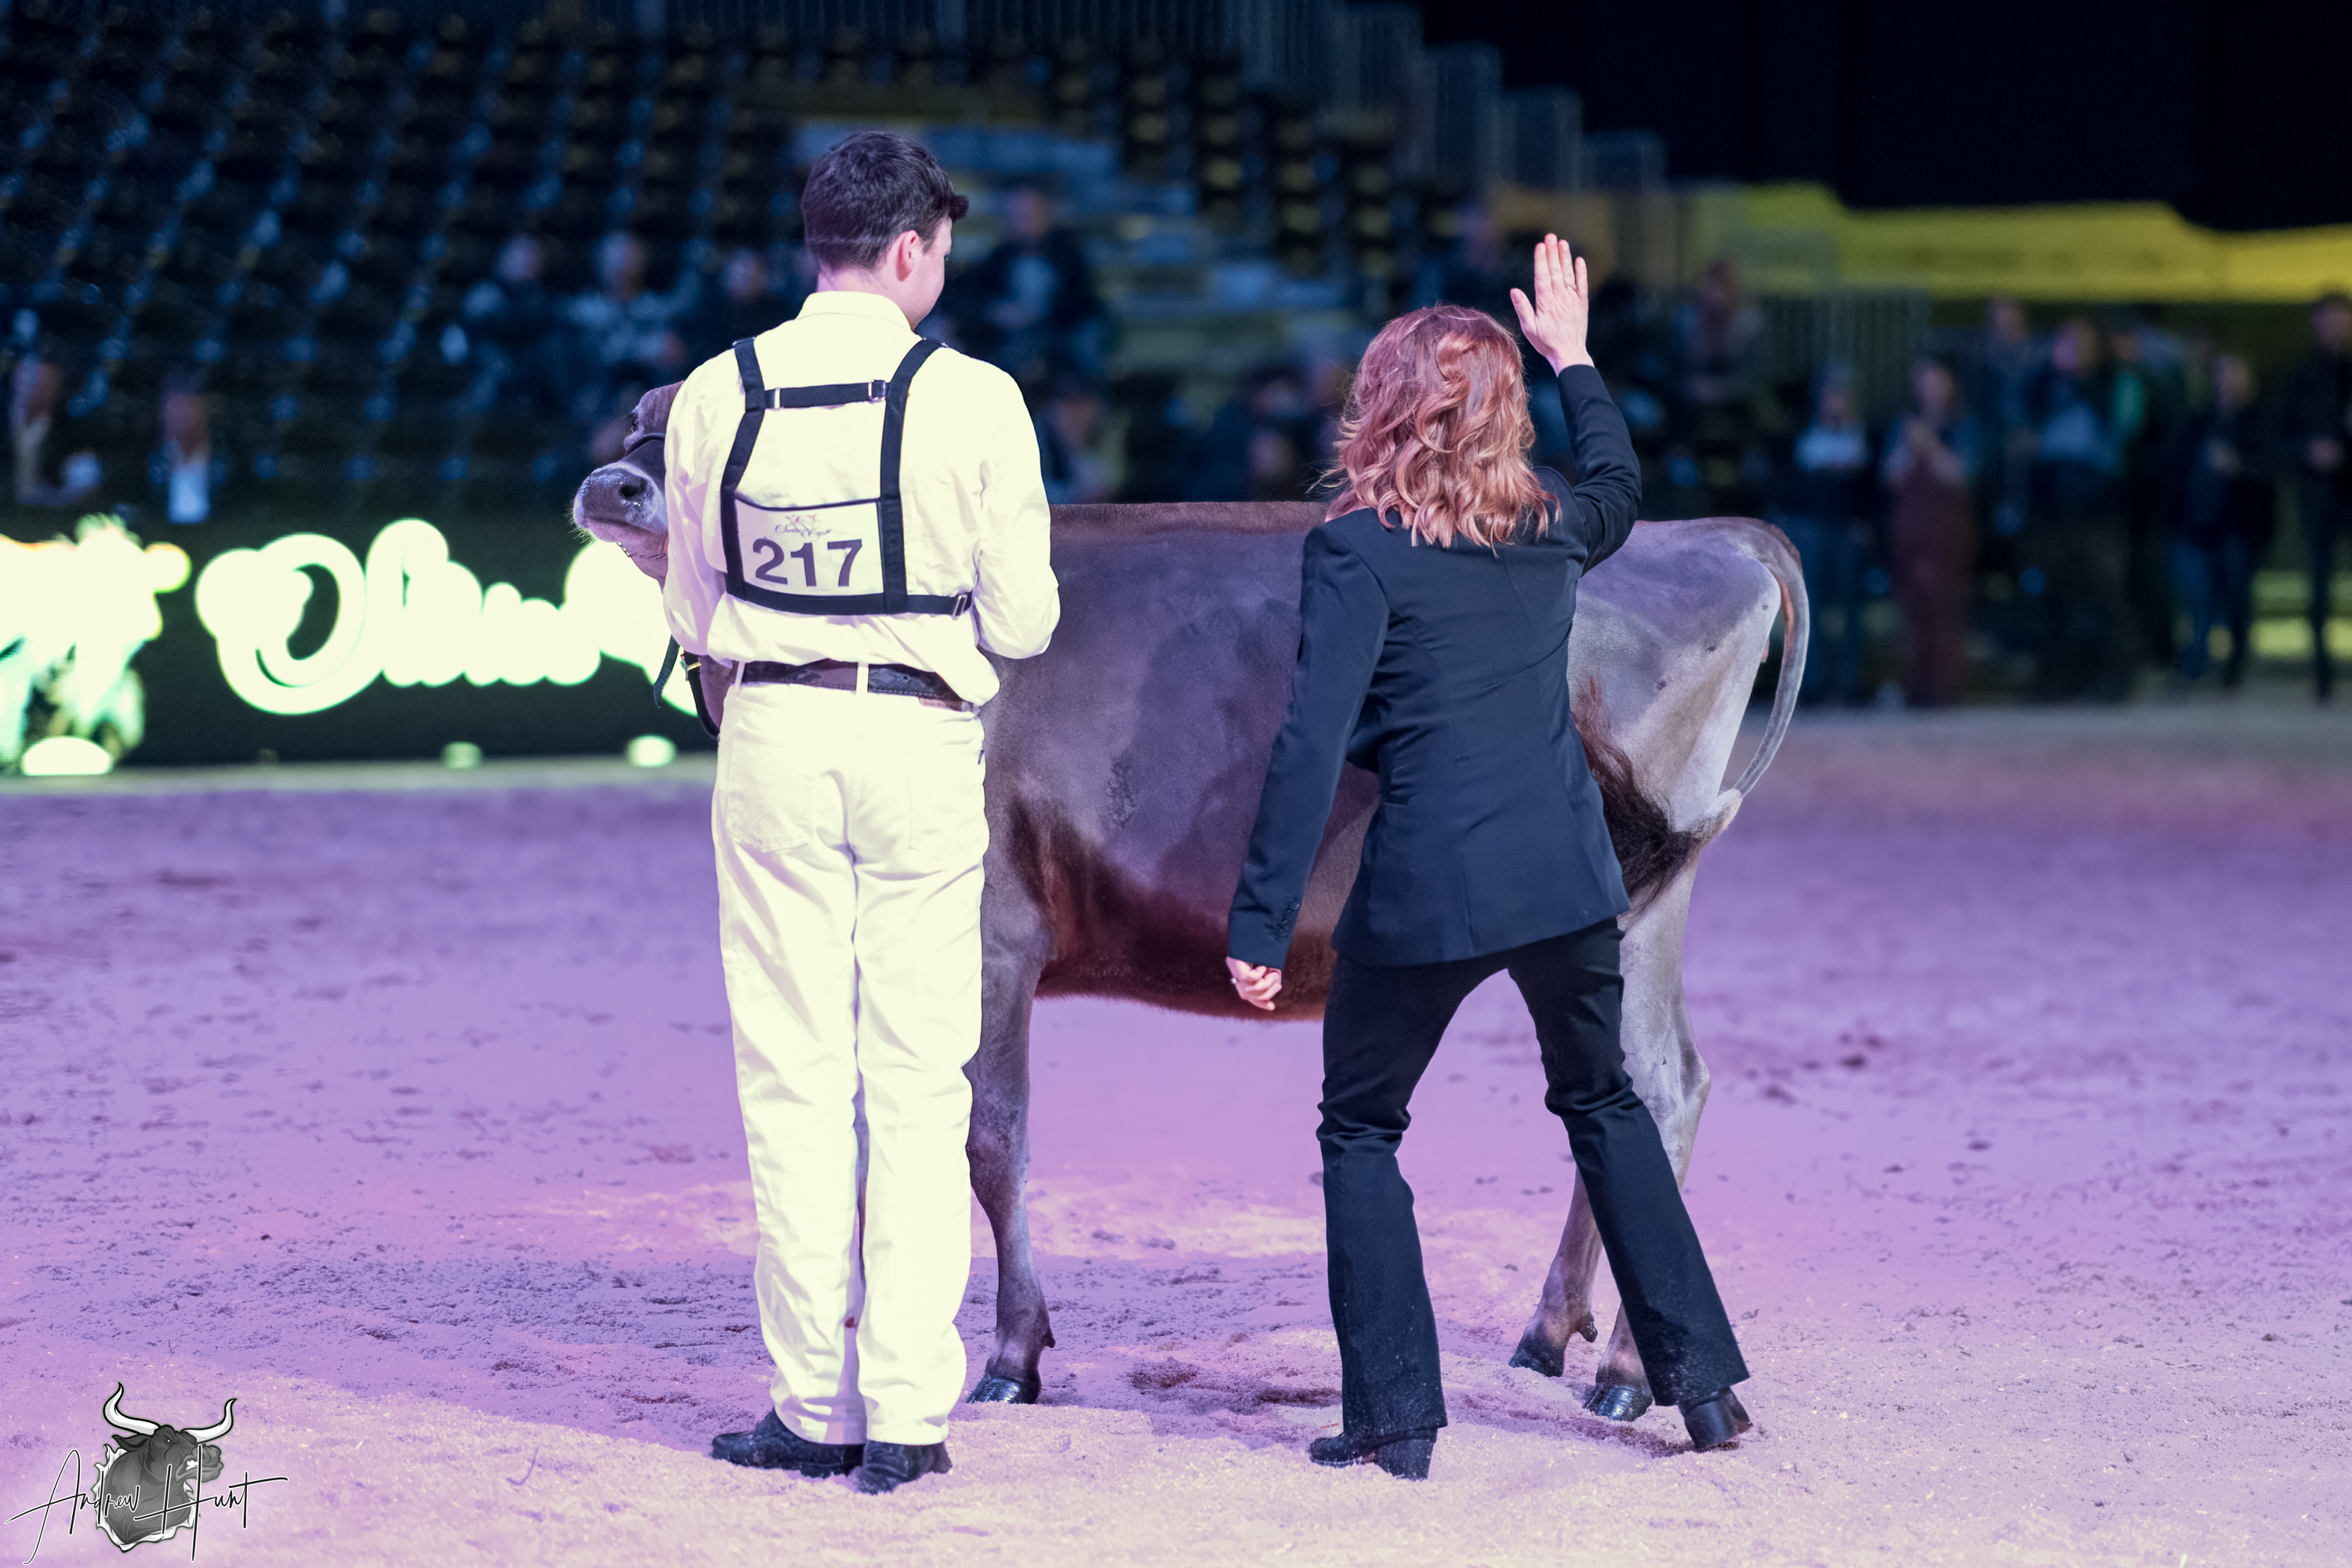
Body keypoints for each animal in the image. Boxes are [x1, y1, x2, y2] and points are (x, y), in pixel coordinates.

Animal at [572, 383, 1807, 1425]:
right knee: (1631, 1093)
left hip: (1635, 903)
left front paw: (1010, 1357)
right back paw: (1555, 1334)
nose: (609, 483)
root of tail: (1706, 532)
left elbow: (989, 1135)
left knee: (1660, 1087)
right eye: (635, 416)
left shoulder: (993, 932)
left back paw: (1630, 1371)